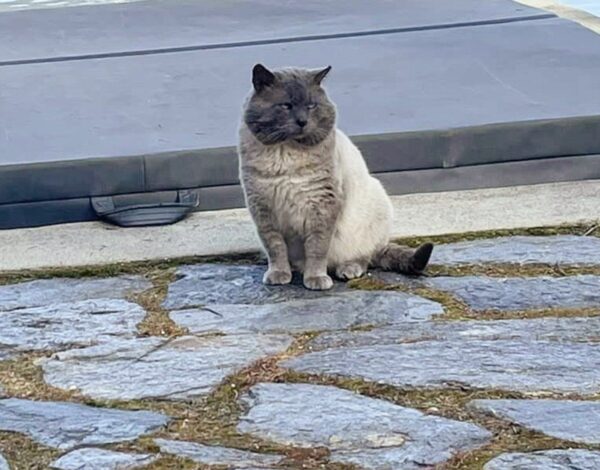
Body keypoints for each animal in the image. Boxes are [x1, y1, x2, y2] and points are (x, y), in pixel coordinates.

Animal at [238, 62, 432, 290]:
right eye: (286, 106)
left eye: (311, 105)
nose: (302, 121)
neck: (286, 157)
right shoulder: (263, 209)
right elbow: (276, 249)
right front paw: (279, 275)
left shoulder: (321, 206)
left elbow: (317, 248)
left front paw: (315, 279)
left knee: (366, 257)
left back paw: (347, 270)